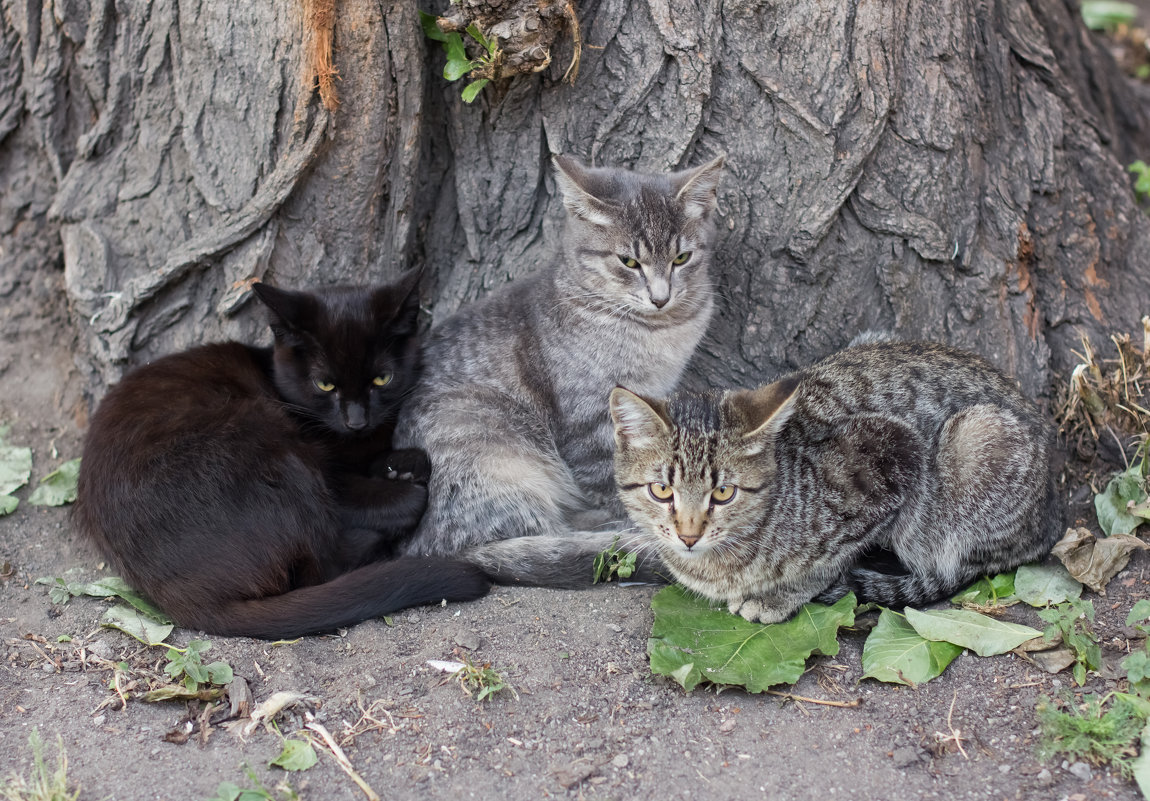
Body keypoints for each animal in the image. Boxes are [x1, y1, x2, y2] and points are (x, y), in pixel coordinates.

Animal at [71, 270, 485, 638]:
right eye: (325, 384)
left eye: (381, 379)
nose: (356, 420)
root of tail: (183, 598)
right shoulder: (327, 469)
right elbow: (364, 493)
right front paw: (402, 485)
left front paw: (401, 464)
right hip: (264, 437)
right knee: (320, 565)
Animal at [391, 152, 722, 583]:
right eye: (629, 262)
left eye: (681, 258)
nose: (660, 298)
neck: (660, 332)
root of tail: (422, 552)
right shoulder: (589, 418)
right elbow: (614, 478)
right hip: (490, 447)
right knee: (538, 538)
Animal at [607, 333, 1062, 620]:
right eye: (661, 490)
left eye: (723, 493)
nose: (688, 535)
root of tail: (1048, 520)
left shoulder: (896, 455)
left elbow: (833, 561)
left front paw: (780, 597)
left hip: (975, 437)